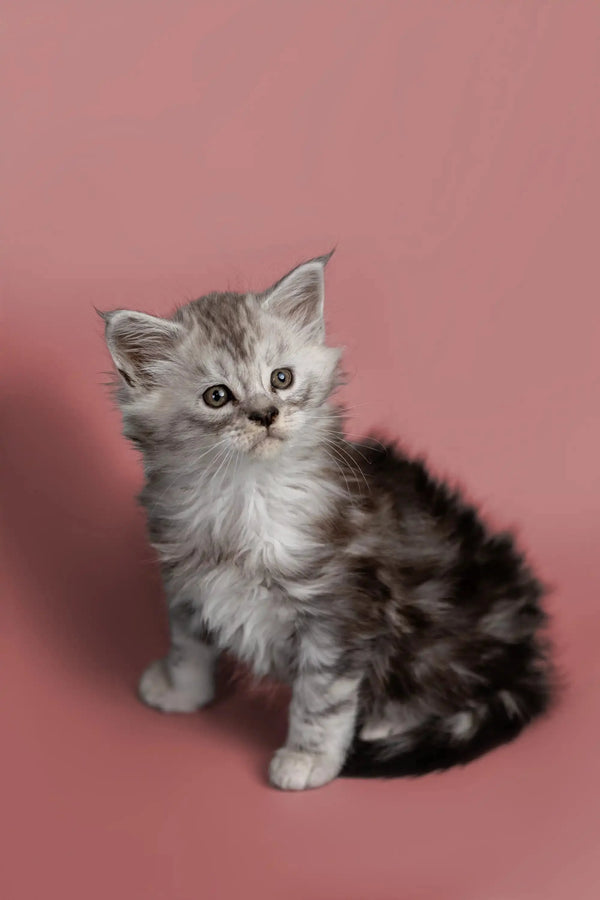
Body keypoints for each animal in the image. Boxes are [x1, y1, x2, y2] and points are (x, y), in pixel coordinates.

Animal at [102, 251, 552, 788]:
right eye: (217, 396)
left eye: (281, 379)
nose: (266, 414)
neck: (246, 497)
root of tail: (524, 650)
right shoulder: (186, 581)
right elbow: (188, 646)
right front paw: (181, 691)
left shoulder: (340, 610)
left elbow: (322, 697)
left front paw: (309, 758)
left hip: (436, 635)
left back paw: (384, 725)